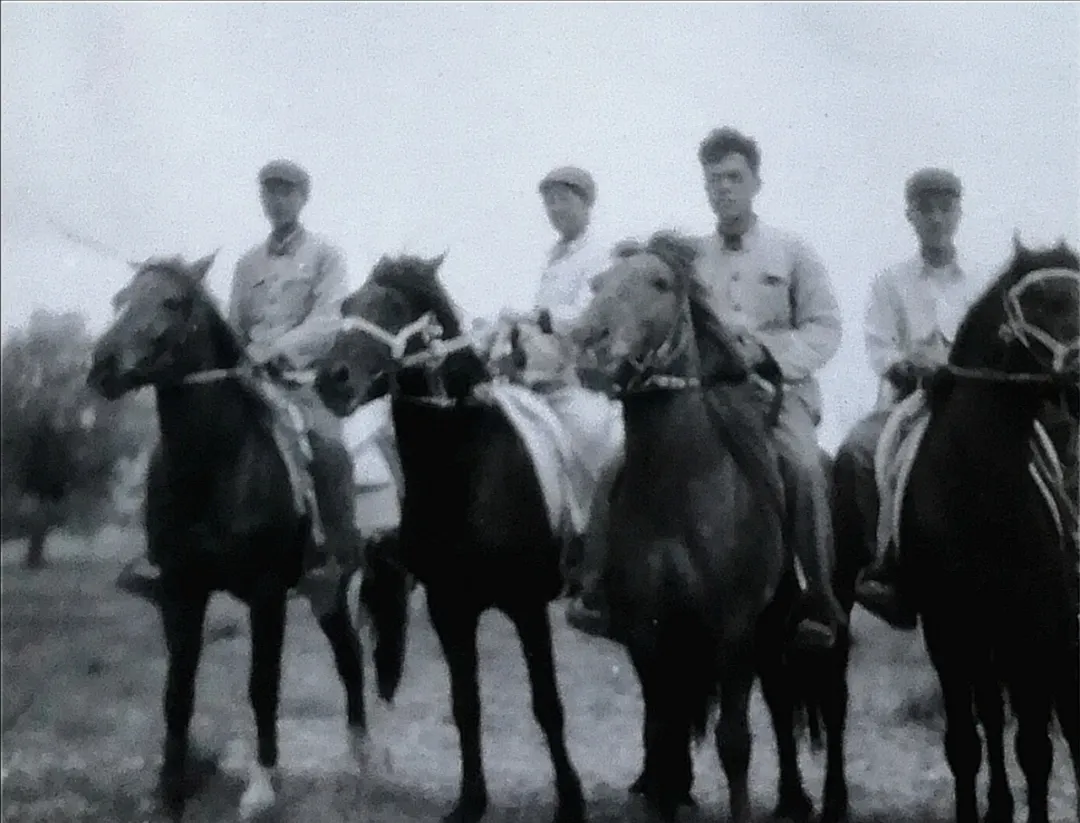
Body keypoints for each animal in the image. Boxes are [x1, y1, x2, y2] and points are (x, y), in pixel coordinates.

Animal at [84, 253, 410, 816]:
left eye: (173, 302)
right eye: (120, 299)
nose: (103, 365)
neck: (215, 466)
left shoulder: (265, 593)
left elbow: (262, 684)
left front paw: (262, 783)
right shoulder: (181, 591)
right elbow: (178, 692)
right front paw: (169, 790)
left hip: (335, 582)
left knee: (351, 660)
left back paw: (366, 754)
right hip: (323, 591)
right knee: (348, 655)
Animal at [313, 253, 587, 820]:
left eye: (396, 307)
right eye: (347, 306)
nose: (332, 379)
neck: (470, 474)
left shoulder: (527, 606)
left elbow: (547, 704)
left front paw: (571, 800)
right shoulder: (449, 608)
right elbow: (466, 705)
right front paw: (470, 801)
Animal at [574, 232, 851, 820]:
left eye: (659, 283)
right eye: (598, 284)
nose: (589, 344)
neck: (683, 485)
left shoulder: (733, 627)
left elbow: (734, 741)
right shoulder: (648, 630)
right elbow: (660, 731)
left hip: (819, 629)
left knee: (830, 704)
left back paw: (832, 800)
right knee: (778, 700)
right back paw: (791, 799)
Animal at [902, 240, 1080, 820]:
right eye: (1044, 302)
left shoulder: (1034, 628)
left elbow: (1036, 749)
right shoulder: (948, 632)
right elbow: (964, 743)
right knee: (990, 719)